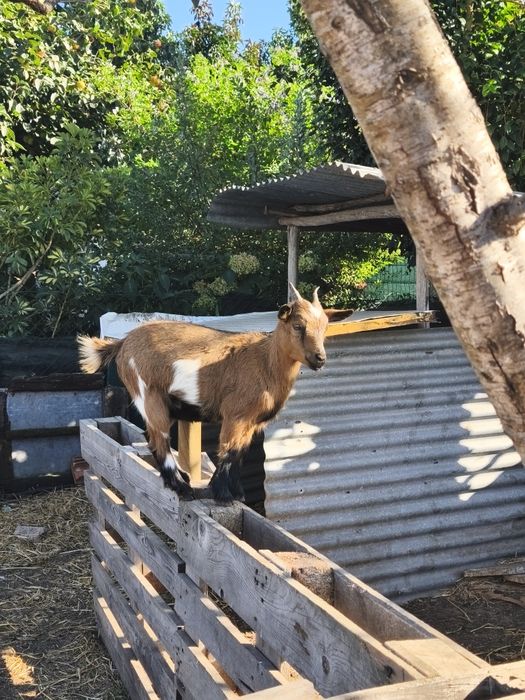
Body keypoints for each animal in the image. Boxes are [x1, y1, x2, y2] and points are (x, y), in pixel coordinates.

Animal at [78, 285, 352, 503]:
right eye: (297, 326)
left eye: (325, 328)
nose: (320, 358)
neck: (264, 361)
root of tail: (121, 343)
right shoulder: (236, 414)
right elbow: (228, 450)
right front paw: (222, 494)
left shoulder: (251, 422)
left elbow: (240, 453)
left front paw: (236, 493)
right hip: (148, 394)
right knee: (158, 438)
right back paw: (181, 487)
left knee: (152, 437)